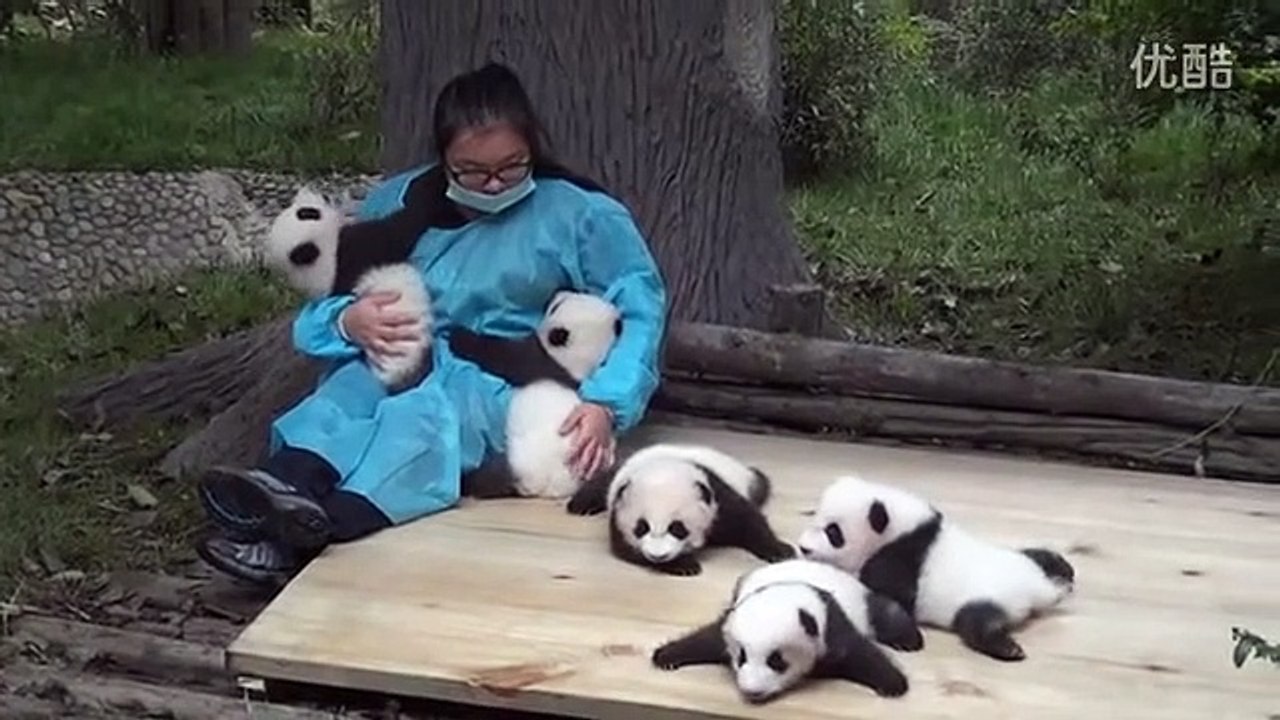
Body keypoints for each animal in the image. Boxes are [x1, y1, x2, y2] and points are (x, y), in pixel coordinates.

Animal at [448, 290, 623, 500]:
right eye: (580, 293)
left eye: (556, 306)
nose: (559, 291)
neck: (577, 368)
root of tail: (549, 488)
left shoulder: (538, 363)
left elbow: (502, 355)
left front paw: (458, 335)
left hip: (518, 460)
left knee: (492, 475)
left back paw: (467, 480)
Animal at [563, 442, 796, 576]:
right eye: (641, 527)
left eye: (677, 528)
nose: (658, 556)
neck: (666, 464)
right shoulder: (619, 513)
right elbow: (627, 550)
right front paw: (684, 565)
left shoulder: (717, 496)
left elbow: (748, 521)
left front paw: (780, 551)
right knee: (601, 484)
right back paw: (579, 505)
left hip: (748, 480)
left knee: (761, 483)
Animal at [651, 558, 919, 703]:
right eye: (741, 657)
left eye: (776, 661)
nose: (753, 691)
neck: (789, 589)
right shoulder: (732, 617)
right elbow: (706, 639)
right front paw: (666, 657)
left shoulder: (830, 623)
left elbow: (860, 654)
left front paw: (893, 685)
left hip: (864, 603)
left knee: (887, 614)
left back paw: (909, 641)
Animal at [794, 474, 1076, 662]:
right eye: (813, 516)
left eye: (833, 533)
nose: (803, 547)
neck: (903, 527)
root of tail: (1039, 589)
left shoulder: (898, 557)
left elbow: (890, 593)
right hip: (1027, 563)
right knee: (1043, 557)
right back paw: (1063, 570)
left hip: (986, 596)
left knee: (977, 623)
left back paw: (1007, 648)